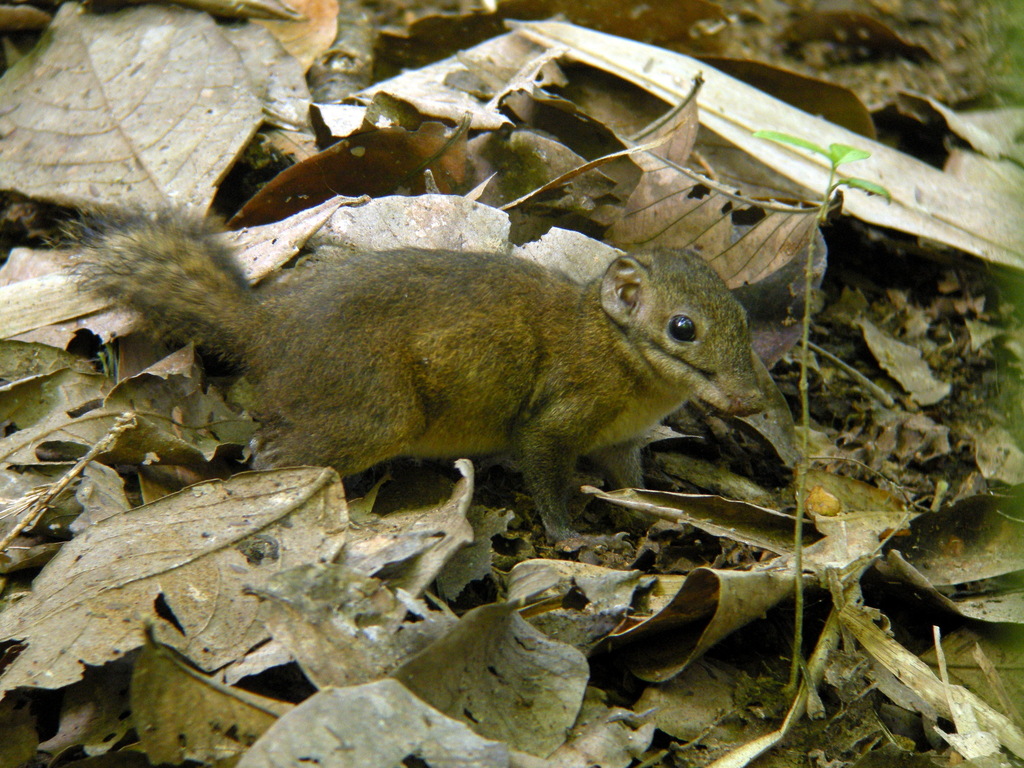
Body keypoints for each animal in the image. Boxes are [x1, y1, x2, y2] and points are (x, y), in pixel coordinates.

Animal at [76, 209, 768, 541]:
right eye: (683, 328)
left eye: (744, 316)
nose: (754, 402)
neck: (616, 348)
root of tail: (268, 327)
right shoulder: (552, 424)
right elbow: (549, 487)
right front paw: (576, 538)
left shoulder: (621, 444)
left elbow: (630, 481)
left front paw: (653, 512)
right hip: (381, 415)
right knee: (273, 455)